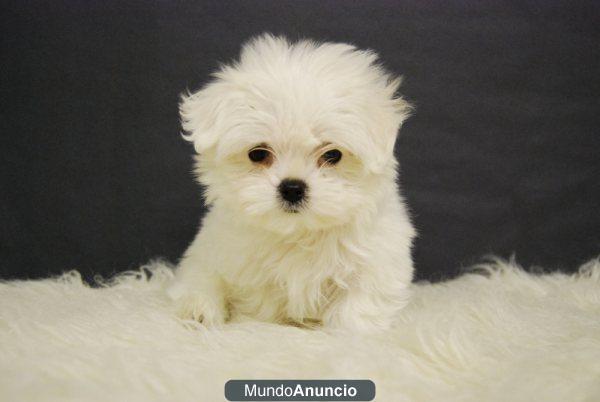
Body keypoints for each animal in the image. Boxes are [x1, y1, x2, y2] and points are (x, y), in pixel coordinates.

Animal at [166, 34, 414, 332]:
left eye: (333, 155)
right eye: (258, 154)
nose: (292, 188)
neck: (299, 233)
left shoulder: (375, 262)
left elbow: (358, 306)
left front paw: (349, 330)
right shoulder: (237, 264)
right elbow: (251, 299)